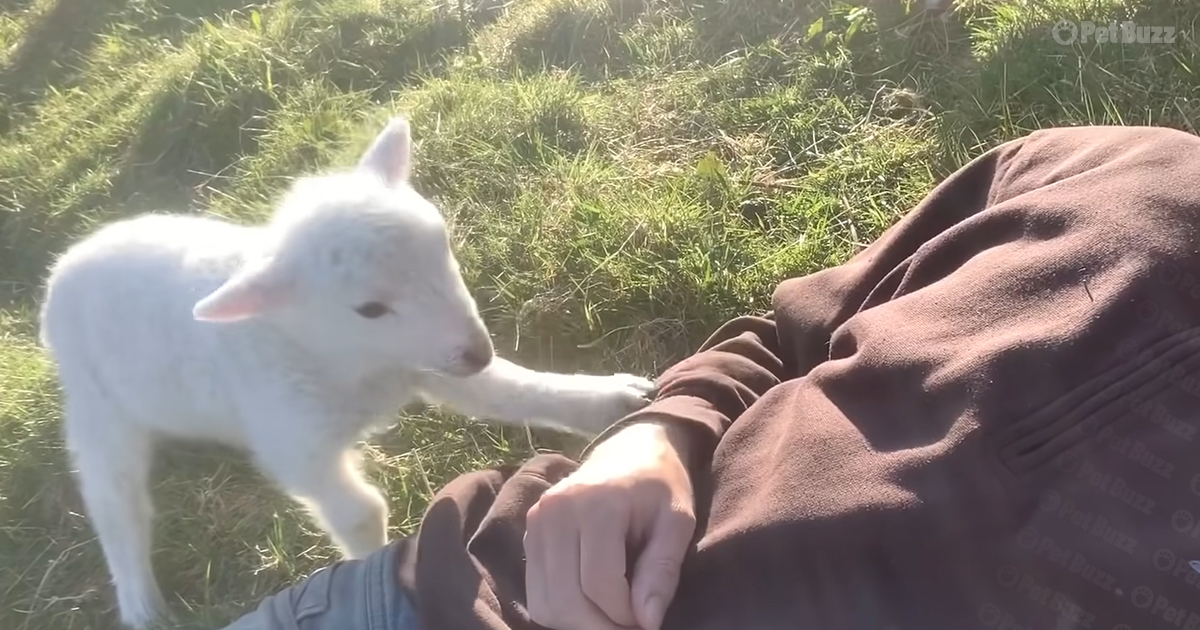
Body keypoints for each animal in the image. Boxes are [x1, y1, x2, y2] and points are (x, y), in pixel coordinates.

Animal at [37, 116, 657, 629]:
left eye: (442, 245)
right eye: (370, 308)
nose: (477, 350)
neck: (348, 358)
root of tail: (63, 268)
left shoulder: (429, 359)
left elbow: (509, 389)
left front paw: (613, 401)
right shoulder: (295, 440)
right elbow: (360, 513)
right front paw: (380, 566)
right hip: (98, 409)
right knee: (115, 499)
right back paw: (140, 602)